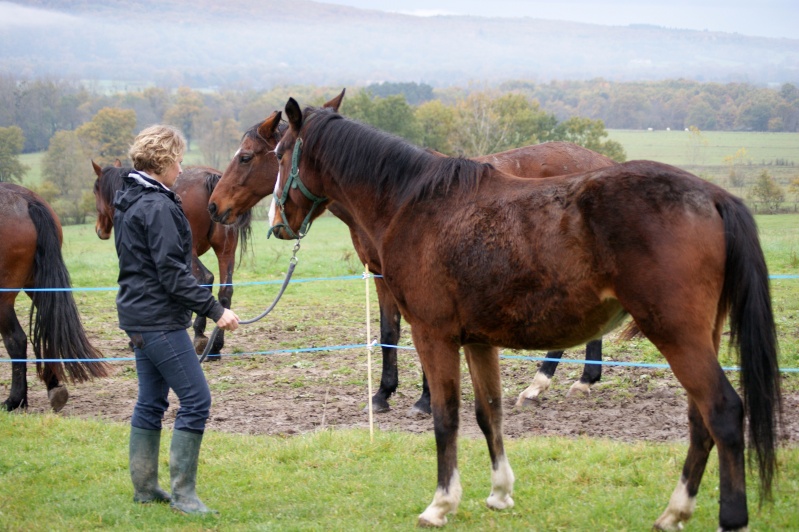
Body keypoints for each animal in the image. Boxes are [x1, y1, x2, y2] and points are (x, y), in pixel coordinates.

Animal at [0, 183, 111, 412]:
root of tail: (25, 199)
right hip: (37, 286)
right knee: (51, 329)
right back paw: (54, 387)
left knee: (16, 339)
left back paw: (15, 400)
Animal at [92, 161, 252, 358]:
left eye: (96, 190)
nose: (100, 230)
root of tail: (209, 176)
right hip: (226, 251)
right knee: (225, 292)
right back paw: (215, 346)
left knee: (205, 279)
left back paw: (200, 336)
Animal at [268, 97, 780, 528]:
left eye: (278, 154)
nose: (277, 225)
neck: (414, 203)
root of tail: (712, 196)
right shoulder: (478, 341)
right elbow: (488, 413)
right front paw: (499, 493)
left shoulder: (434, 335)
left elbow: (446, 417)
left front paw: (441, 504)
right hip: (697, 336)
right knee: (700, 421)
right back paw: (674, 512)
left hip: (676, 334)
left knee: (722, 411)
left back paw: (728, 516)